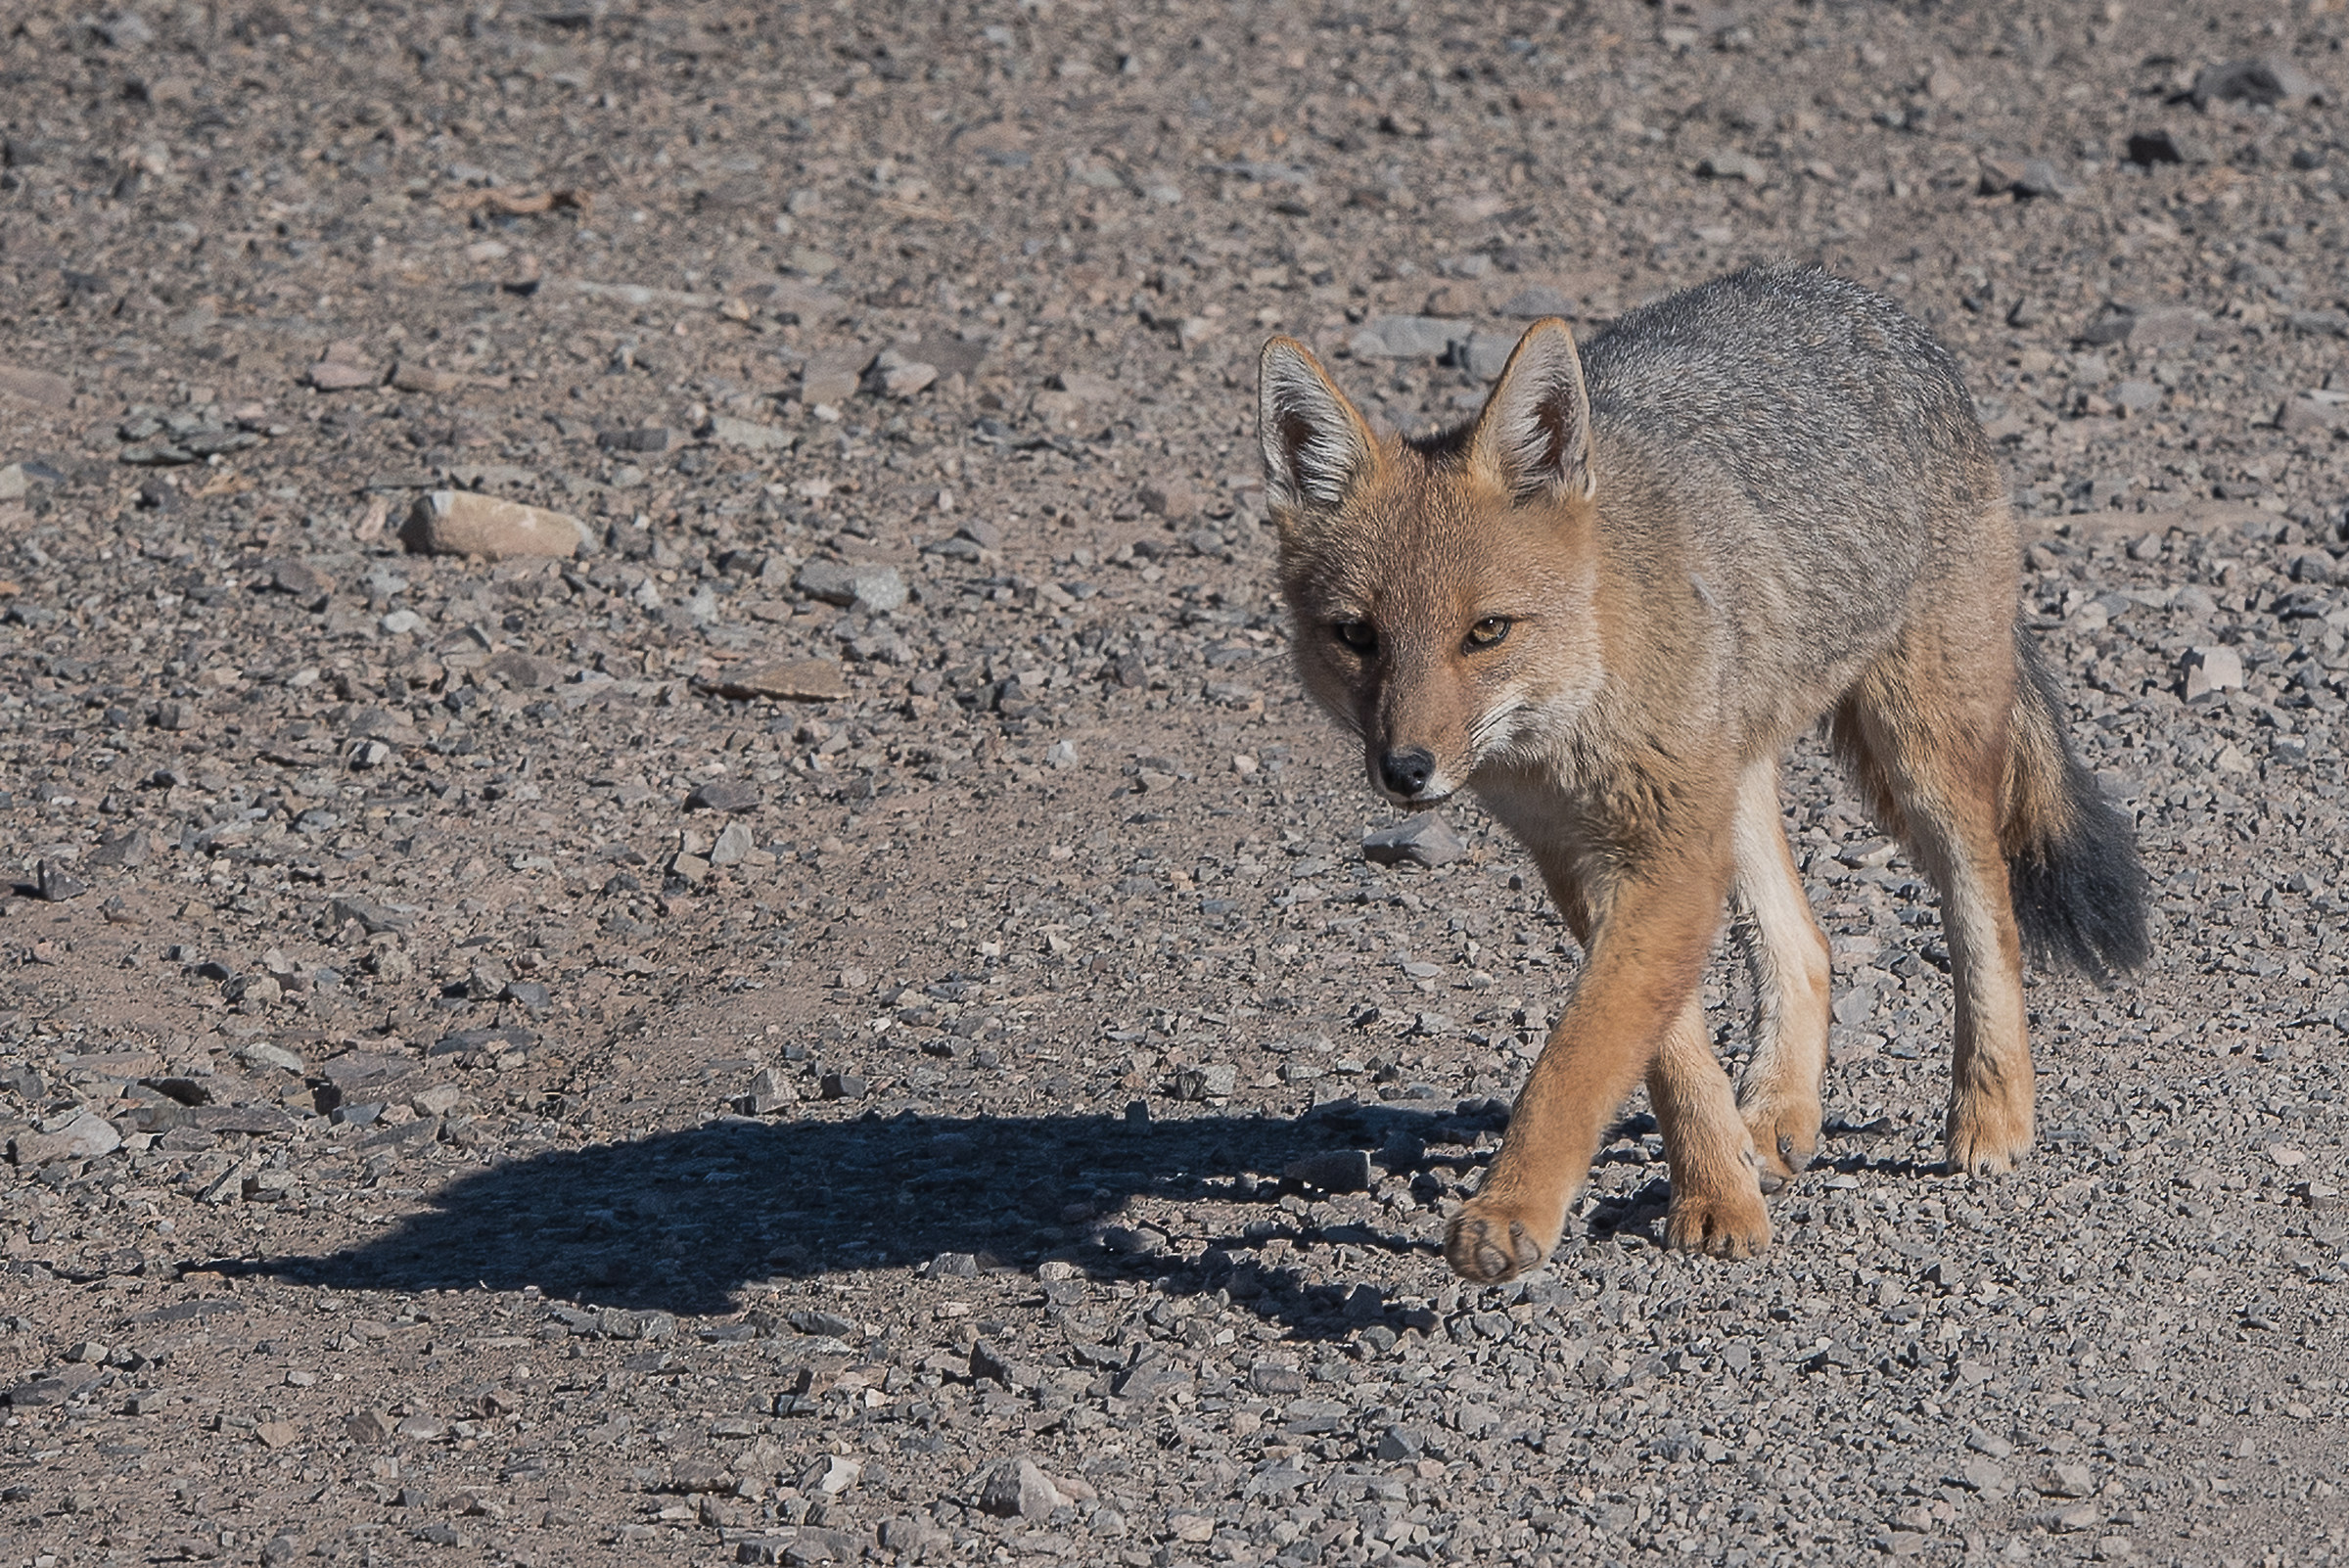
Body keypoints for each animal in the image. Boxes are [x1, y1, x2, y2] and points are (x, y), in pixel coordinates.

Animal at [1258, 265, 2148, 1284]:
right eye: (1356, 636)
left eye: (1485, 631)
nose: (1406, 769)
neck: (1576, 720)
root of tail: (1850, 294)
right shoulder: (1589, 862)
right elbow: (1666, 1051)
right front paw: (1719, 1192)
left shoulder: (1667, 861)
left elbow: (1579, 1056)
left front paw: (1512, 1207)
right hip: (1741, 785)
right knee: (1807, 944)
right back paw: (1775, 1114)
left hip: (1921, 754)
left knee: (1986, 905)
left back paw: (1992, 1111)